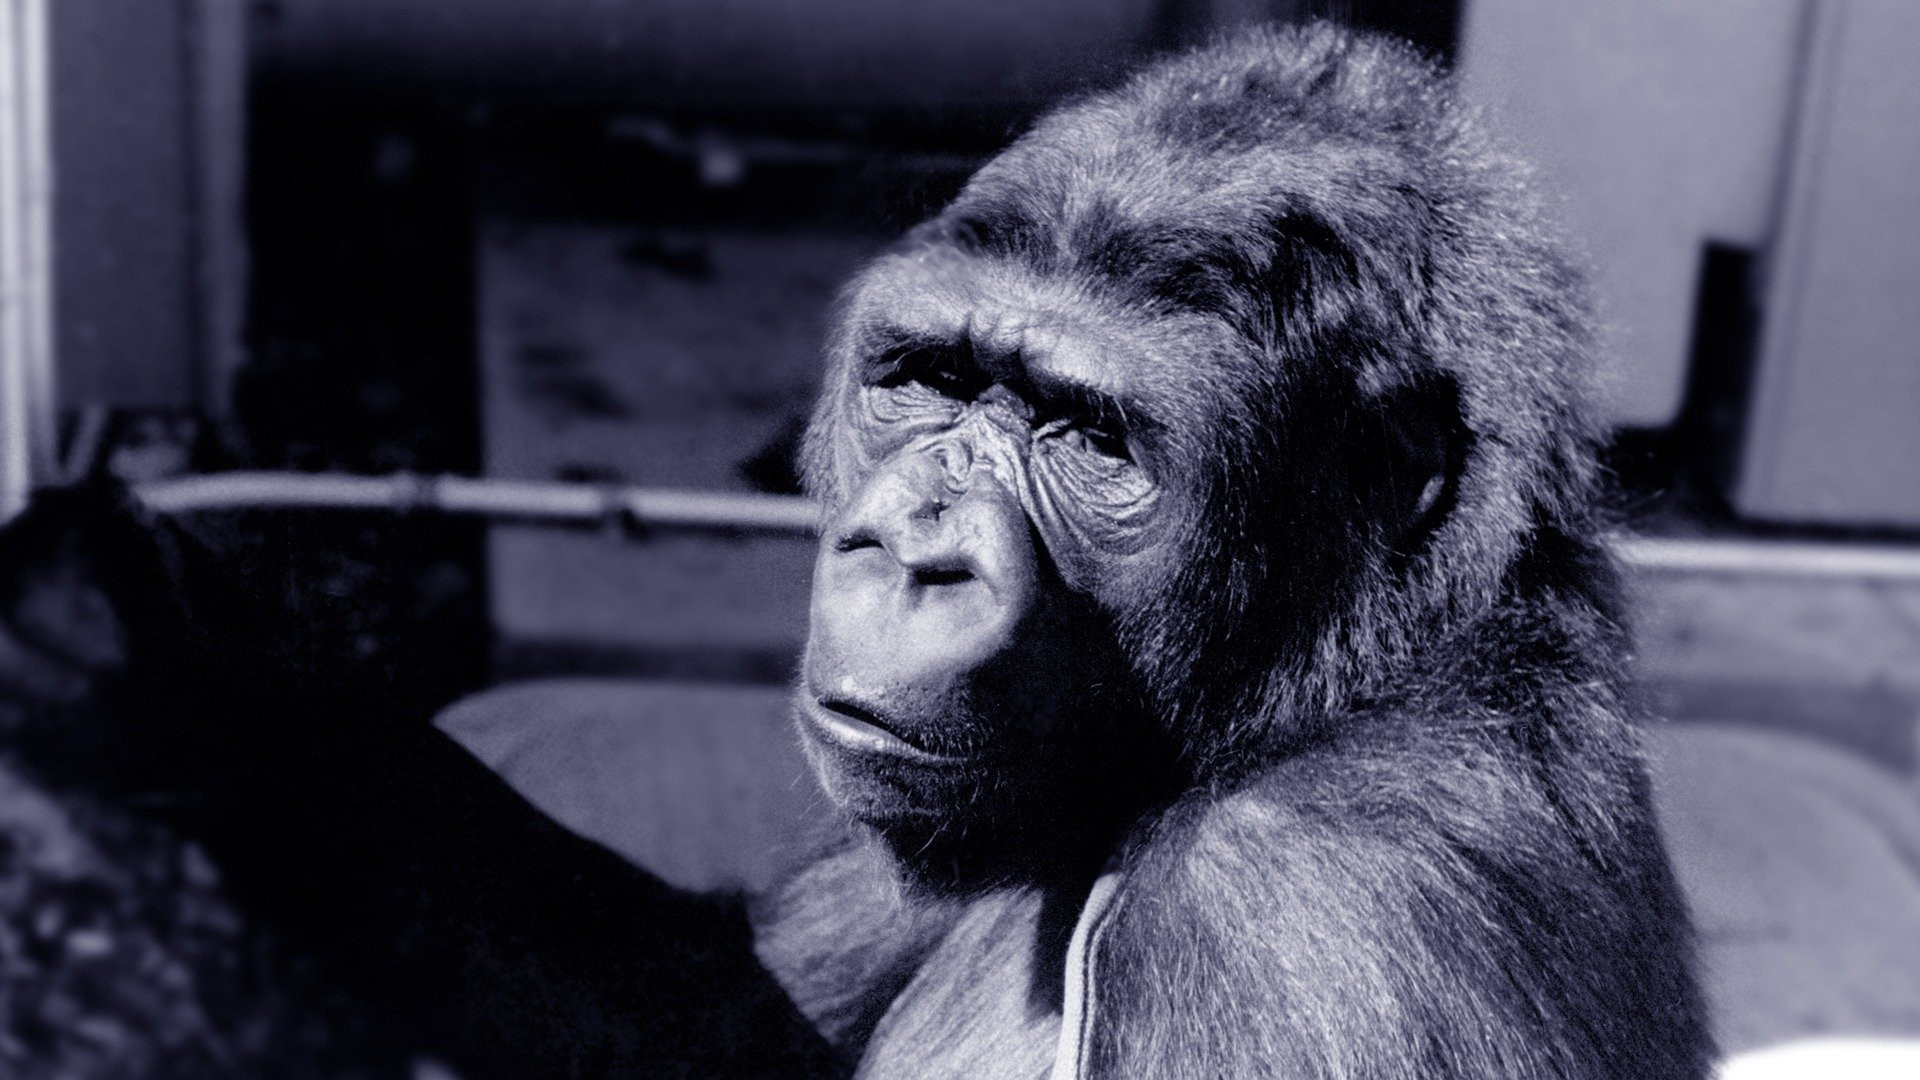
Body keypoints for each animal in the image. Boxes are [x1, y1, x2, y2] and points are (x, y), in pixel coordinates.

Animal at [0, 22, 1712, 1079]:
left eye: (1092, 439)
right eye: (932, 380)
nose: (912, 550)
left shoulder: (1310, 929)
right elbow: (707, 1011)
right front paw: (174, 674)